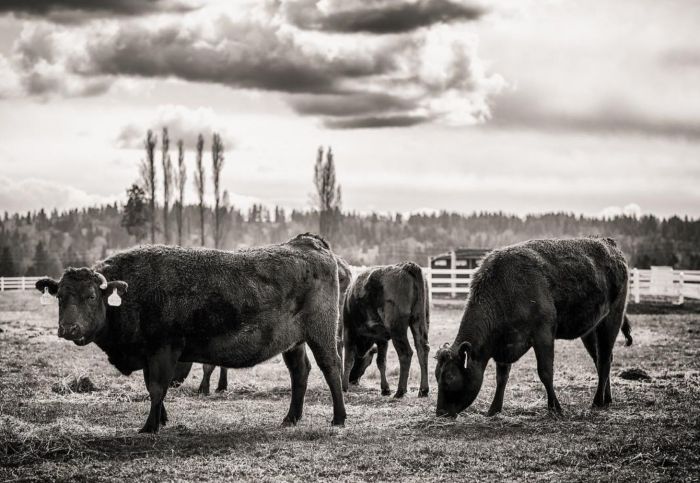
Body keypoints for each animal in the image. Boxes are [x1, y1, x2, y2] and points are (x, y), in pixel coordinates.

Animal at [341, 262, 430, 398]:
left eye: (365, 361)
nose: (353, 379)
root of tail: (406, 266)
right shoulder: (382, 338)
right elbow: (381, 362)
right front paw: (385, 389)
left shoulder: (348, 331)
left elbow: (348, 359)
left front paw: (344, 387)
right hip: (418, 321)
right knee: (422, 349)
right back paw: (423, 390)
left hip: (397, 329)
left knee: (406, 353)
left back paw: (400, 391)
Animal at [434, 237, 632, 418]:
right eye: (437, 375)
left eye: (450, 377)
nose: (440, 412)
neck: (504, 287)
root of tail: (610, 245)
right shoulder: (504, 344)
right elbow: (501, 378)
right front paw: (493, 410)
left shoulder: (543, 334)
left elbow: (545, 372)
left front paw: (555, 407)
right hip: (590, 331)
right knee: (601, 359)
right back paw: (607, 399)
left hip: (611, 320)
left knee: (604, 360)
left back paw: (597, 401)